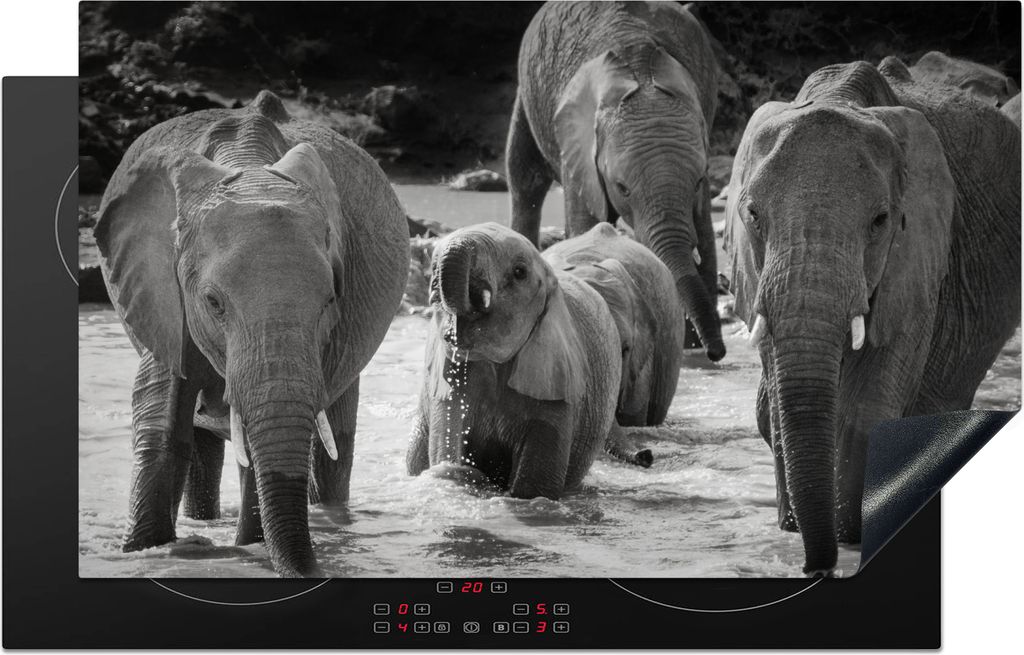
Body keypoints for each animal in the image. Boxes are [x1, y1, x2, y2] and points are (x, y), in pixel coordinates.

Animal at [95, 90, 409, 576]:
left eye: (331, 298)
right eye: (213, 302)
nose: (314, 573)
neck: (250, 168)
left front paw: (249, 549)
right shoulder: (161, 292)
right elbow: (160, 416)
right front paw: (144, 552)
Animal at [406, 223, 621, 498]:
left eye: (520, 272)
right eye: (433, 267)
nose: (452, 329)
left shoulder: (558, 389)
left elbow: (533, 487)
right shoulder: (447, 388)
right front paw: (461, 474)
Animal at [506, 0, 725, 363]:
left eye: (697, 182)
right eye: (623, 188)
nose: (716, 353)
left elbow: (704, 232)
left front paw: (689, 347)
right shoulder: (578, 150)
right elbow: (584, 226)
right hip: (527, 94)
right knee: (525, 178)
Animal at [724, 60, 1021, 575]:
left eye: (881, 221)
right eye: (753, 215)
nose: (815, 569)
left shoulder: (921, 256)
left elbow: (866, 411)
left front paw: (851, 536)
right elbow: (776, 405)